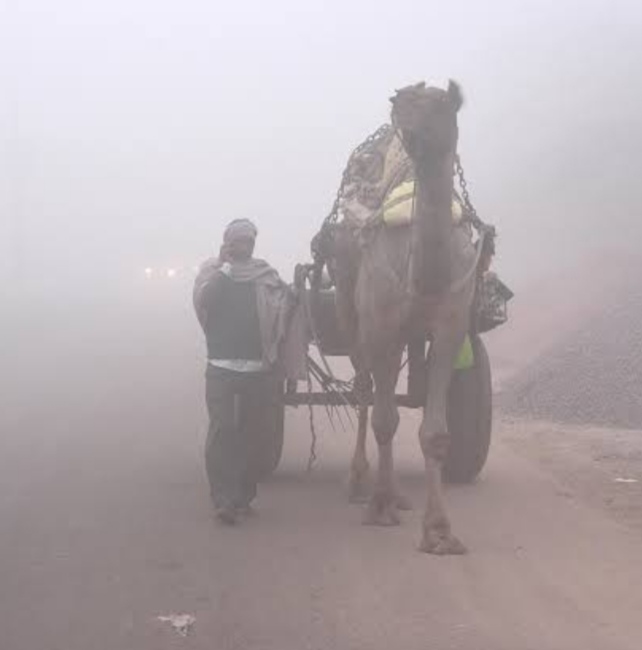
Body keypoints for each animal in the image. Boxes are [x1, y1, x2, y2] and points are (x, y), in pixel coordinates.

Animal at [316, 78, 480, 548]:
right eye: (403, 102)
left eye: (441, 106)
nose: (401, 114)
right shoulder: (379, 323)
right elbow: (385, 419)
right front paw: (380, 506)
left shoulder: (450, 325)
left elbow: (436, 432)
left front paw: (439, 530)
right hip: (350, 305)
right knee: (365, 391)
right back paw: (362, 483)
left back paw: (401, 496)